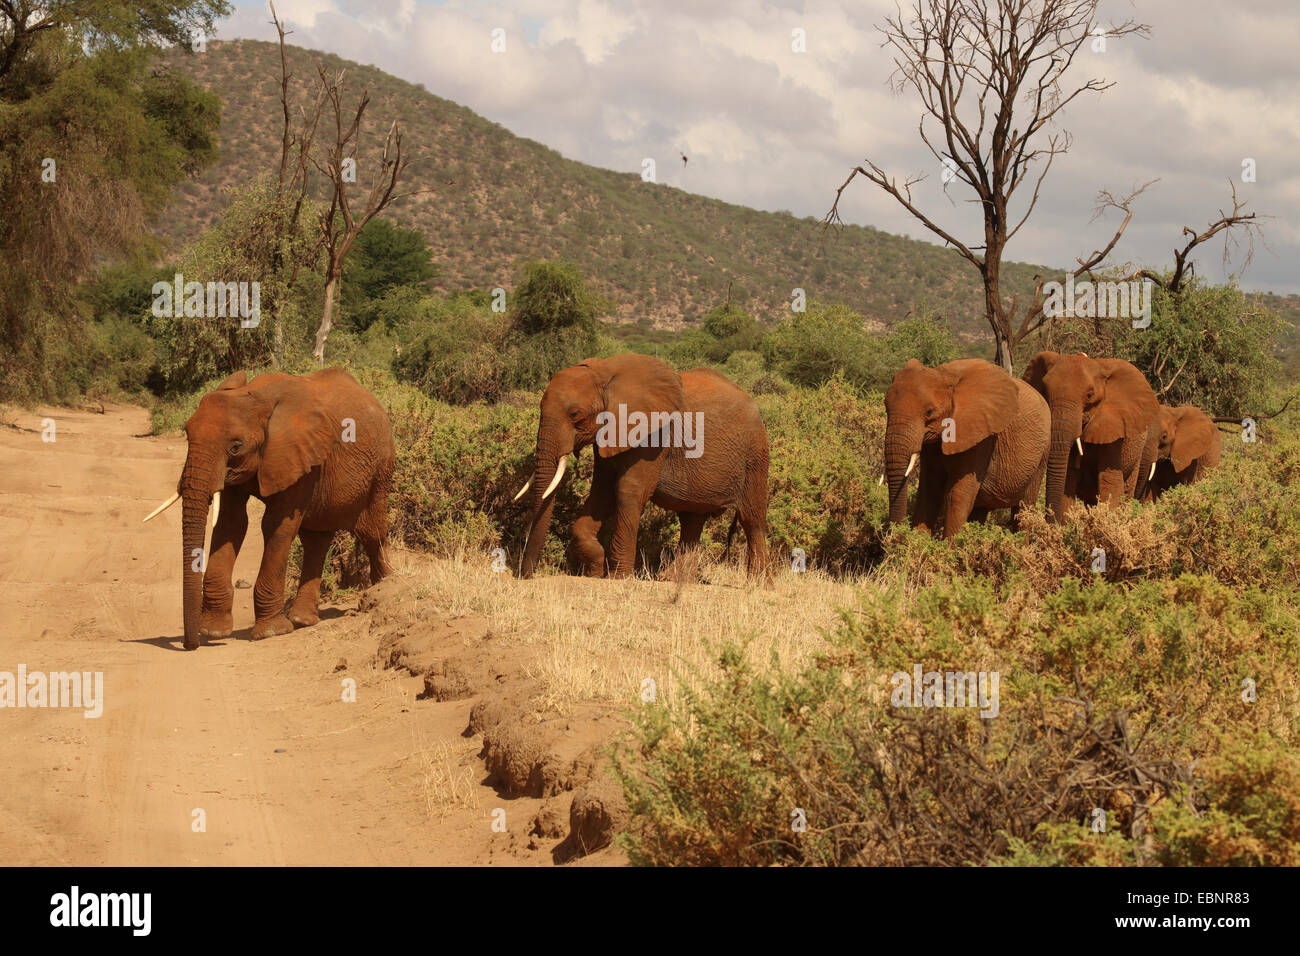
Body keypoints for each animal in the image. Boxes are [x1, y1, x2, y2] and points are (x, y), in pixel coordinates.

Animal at [143, 366, 392, 650]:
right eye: (187, 436)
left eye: (236, 446)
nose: (190, 645)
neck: (257, 396)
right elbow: (231, 521)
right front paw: (213, 632)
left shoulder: (300, 456)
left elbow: (275, 524)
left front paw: (270, 633)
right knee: (315, 539)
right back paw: (303, 620)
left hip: (381, 467)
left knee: (372, 532)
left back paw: (381, 592)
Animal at [512, 351, 769, 574]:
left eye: (574, 414)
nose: (527, 575)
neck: (605, 374)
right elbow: (602, 492)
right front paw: (595, 569)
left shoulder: (654, 437)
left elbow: (628, 491)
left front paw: (618, 577)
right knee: (692, 520)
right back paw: (671, 580)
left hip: (755, 455)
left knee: (752, 519)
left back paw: (758, 584)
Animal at [883, 358, 1055, 538]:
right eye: (885, 407)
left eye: (929, 412)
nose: (894, 534)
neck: (945, 376)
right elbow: (929, 490)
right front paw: (918, 541)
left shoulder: (982, 436)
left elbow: (958, 495)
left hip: (1043, 452)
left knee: (1024, 508)